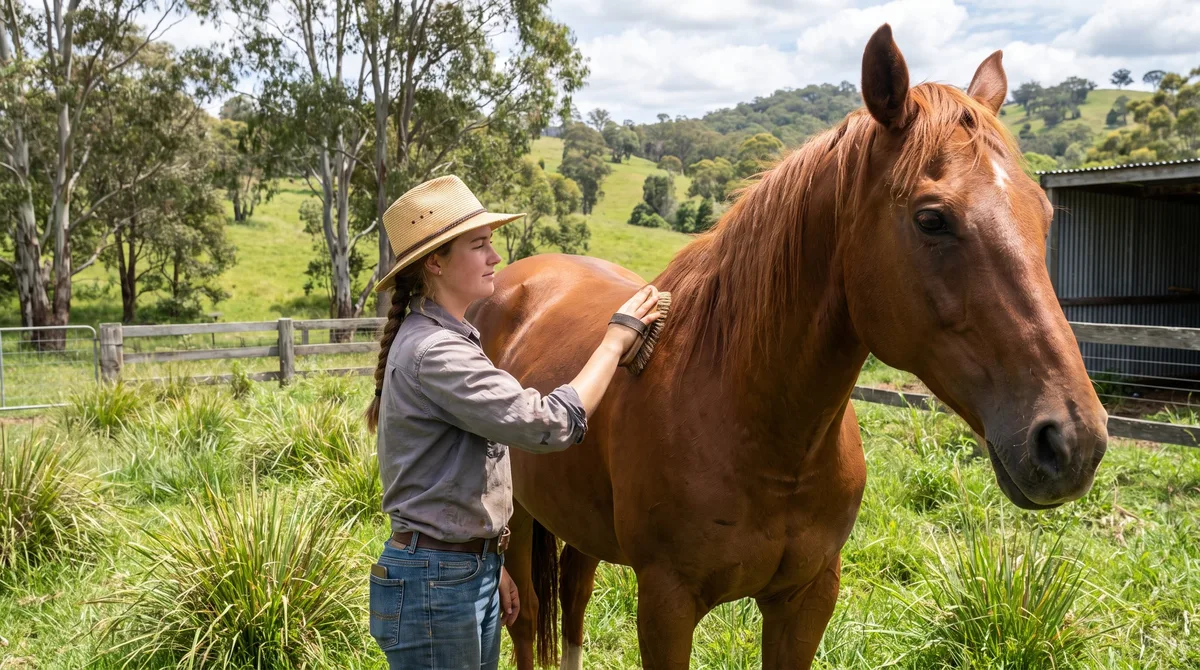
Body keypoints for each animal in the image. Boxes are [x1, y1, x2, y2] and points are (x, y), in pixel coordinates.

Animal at [466, 24, 1109, 670]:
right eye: (932, 219)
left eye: (1044, 214)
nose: (1073, 440)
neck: (758, 427)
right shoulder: (666, 604)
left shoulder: (808, 596)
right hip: (519, 525)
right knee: (528, 624)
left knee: (574, 600)